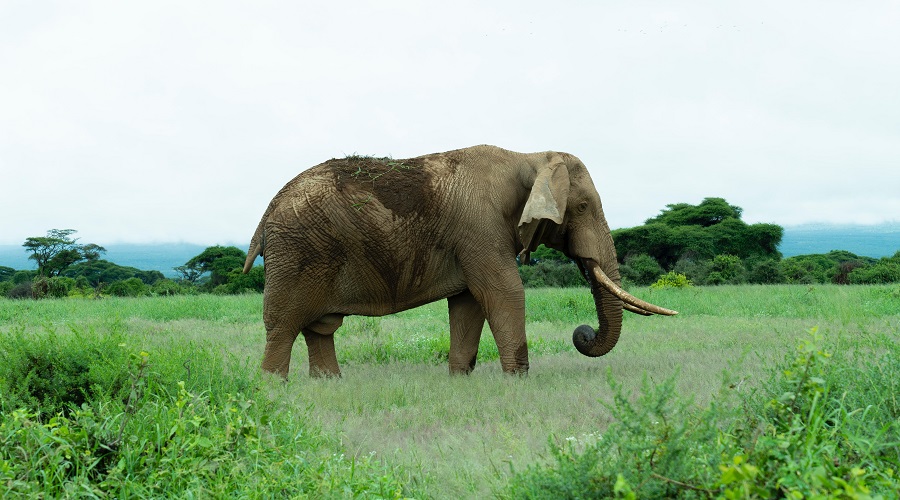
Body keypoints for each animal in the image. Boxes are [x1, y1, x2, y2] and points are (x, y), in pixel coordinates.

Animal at [243, 145, 676, 378]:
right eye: (583, 207)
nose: (582, 333)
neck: (530, 157)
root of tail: (265, 215)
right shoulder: (480, 228)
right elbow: (502, 293)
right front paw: (518, 383)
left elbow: (468, 304)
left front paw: (459, 379)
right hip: (298, 253)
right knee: (282, 328)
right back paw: (273, 391)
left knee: (319, 329)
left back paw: (329, 385)